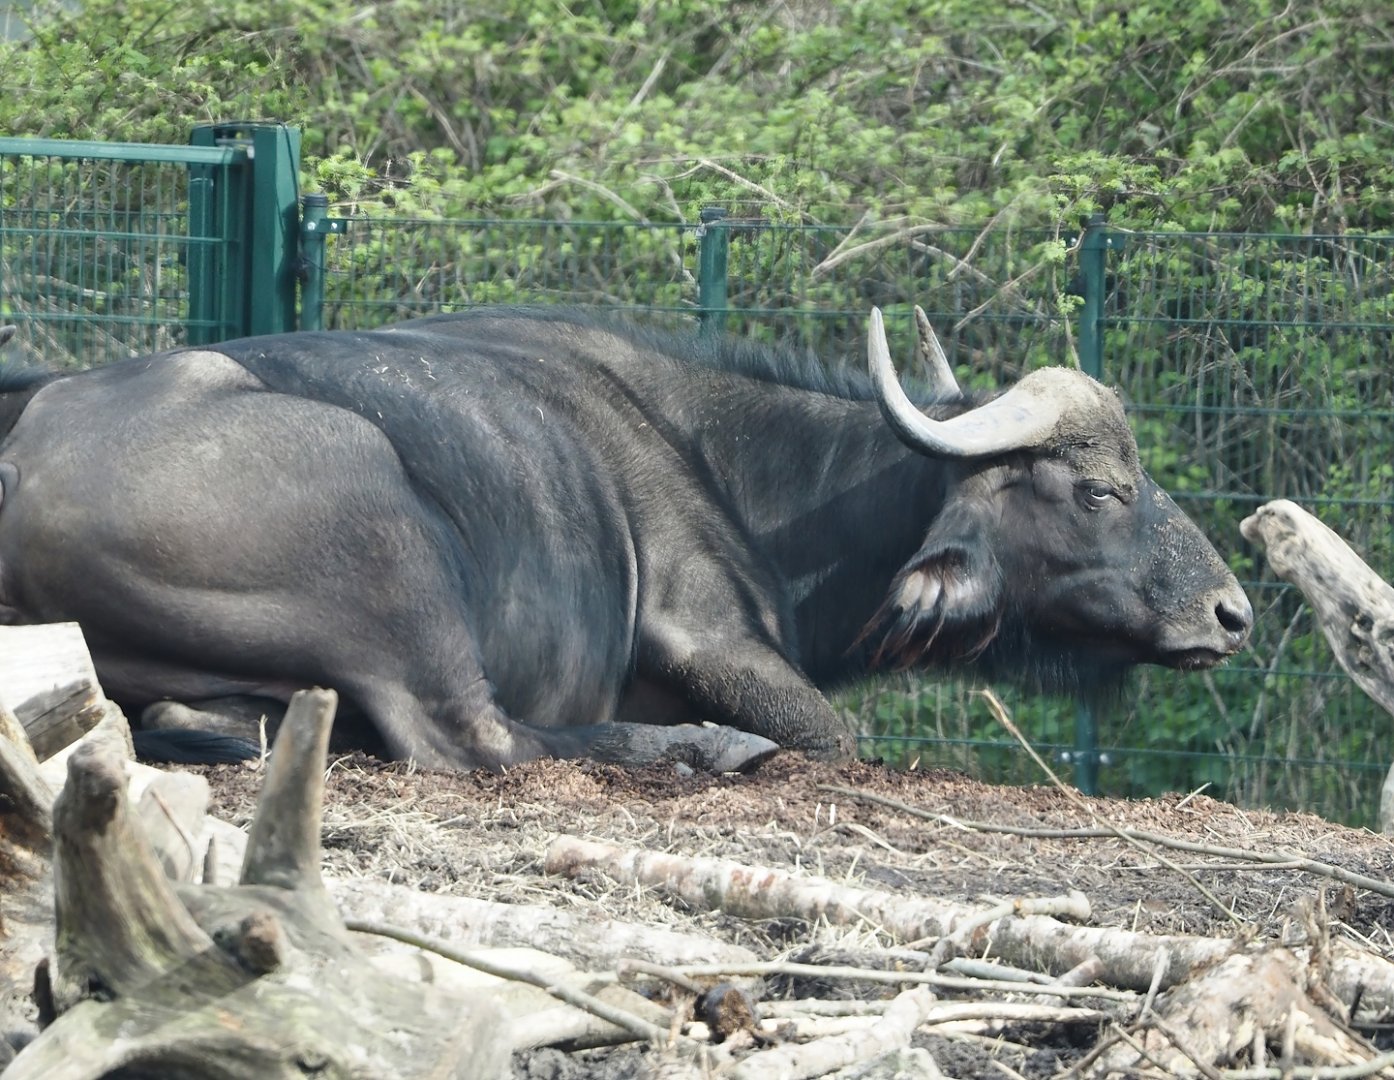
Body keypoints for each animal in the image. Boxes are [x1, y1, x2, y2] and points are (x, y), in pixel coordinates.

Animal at [0, 306, 1251, 770]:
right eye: (1097, 490)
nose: (1230, 611)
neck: (741, 471)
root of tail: (29, 449)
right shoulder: (713, 641)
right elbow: (840, 739)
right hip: (395, 547)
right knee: (478, 738)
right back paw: (697, 750)